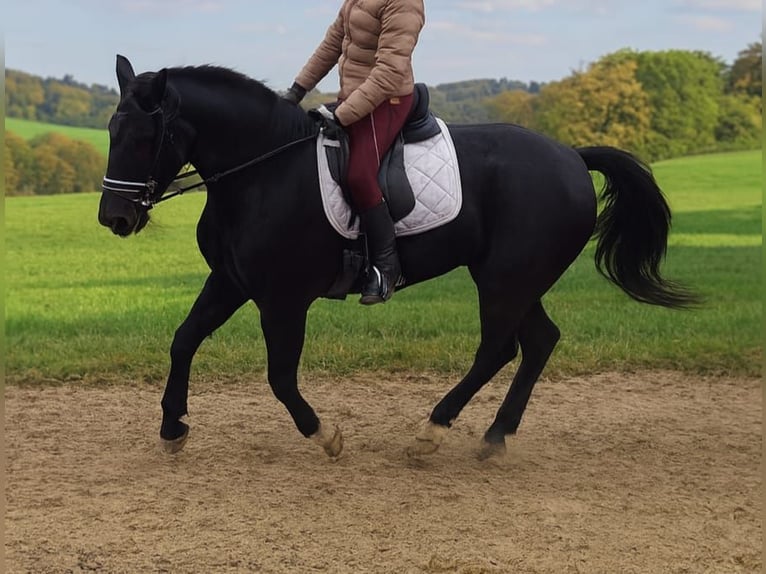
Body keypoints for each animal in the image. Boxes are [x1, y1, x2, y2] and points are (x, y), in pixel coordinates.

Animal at [98, 55, 697, 459]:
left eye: (145, 136)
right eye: (110, 131)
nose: (114, 219)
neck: (262, 171)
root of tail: (571, 155)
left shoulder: (284, 300)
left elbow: (280, 377)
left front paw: (325, 435)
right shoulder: (230, 281)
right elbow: (183, 340)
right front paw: (172, 428)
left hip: (505, 279)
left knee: (498, 349)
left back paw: (434, 430)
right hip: (514, 279)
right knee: (537, 342)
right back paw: (494, 436)